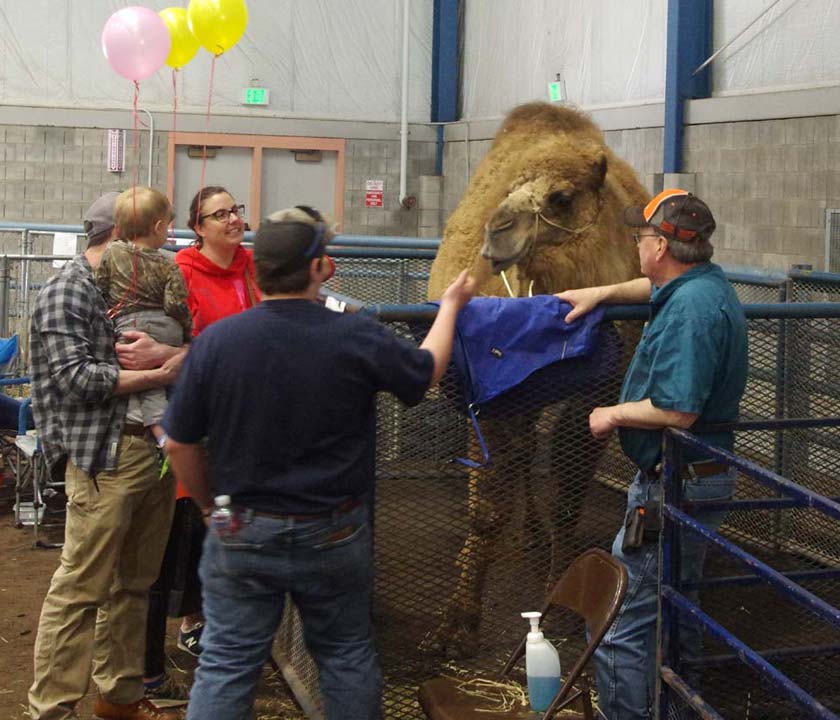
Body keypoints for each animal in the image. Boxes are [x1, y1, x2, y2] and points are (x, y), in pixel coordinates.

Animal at [423, 102, 648, 658]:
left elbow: (569, 487)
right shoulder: (488, 393)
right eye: (507, 191)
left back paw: (534, 535)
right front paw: (456, 626)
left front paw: (563, 599)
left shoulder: (599, 389)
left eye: (562, 198)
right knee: (522, 455)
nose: (497, 229)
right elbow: (488, 506)